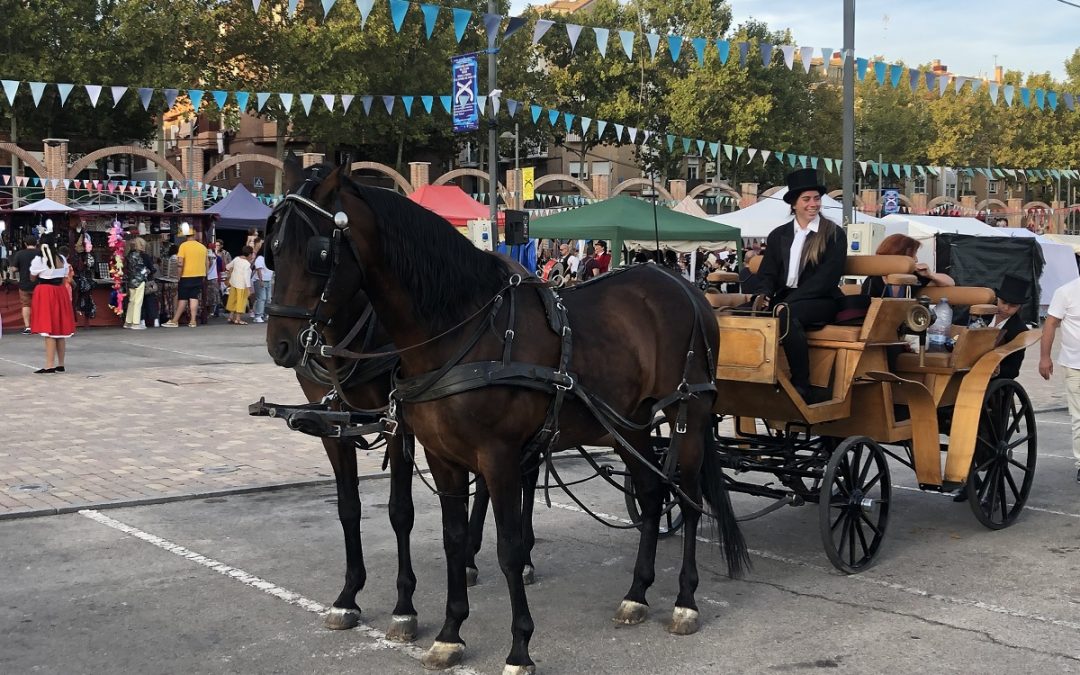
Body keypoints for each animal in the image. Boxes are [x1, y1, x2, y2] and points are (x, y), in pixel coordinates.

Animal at [265, 164, 747, 673]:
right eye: (273, 247)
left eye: (319, 252)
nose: (280, 343)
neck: (458, 328)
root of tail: (683, 286)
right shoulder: (437, 453)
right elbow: (449, 537)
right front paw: (449, 632)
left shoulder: (492, 454)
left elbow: (507, 548)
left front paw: (518, 646)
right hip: (629, 425)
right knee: (654, 494)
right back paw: (636, 593)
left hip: (688, 415)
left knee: (689, 499)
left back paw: (685, 601)